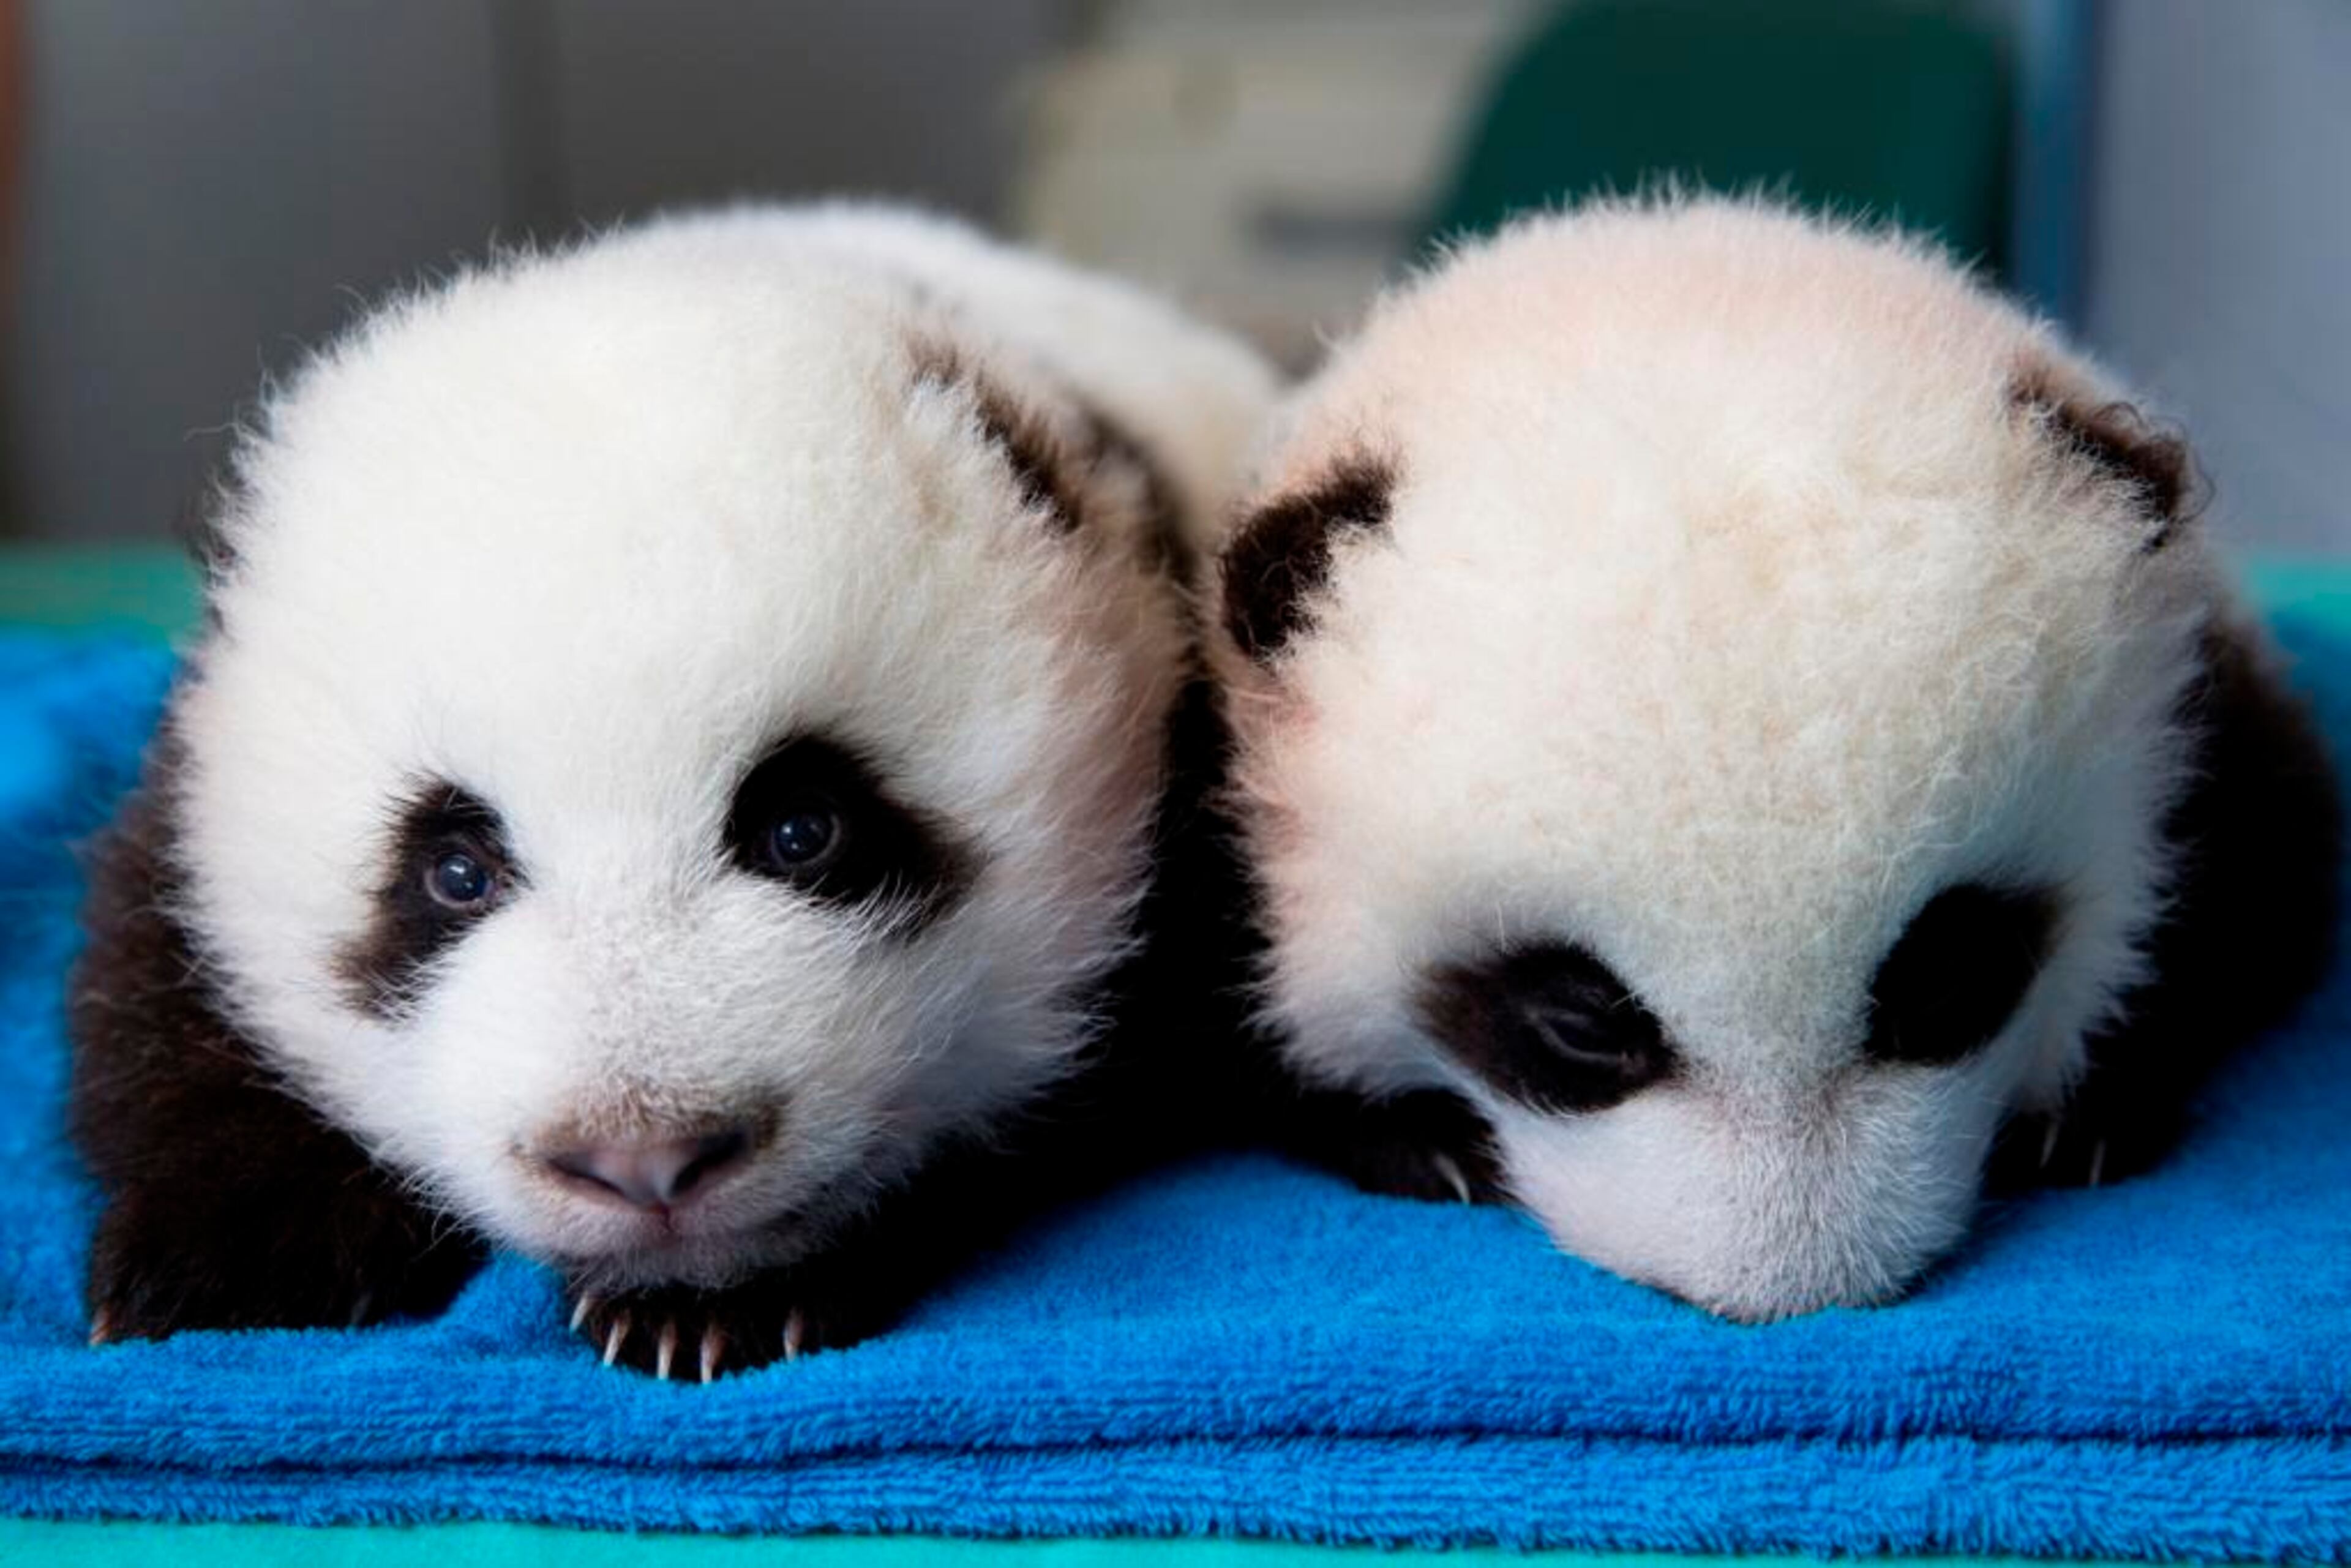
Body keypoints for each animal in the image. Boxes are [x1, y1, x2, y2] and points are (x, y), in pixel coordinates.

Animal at [69, 203, 1277, 1378]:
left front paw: (723, 1297)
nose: (644, 1160)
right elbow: (157, 974)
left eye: (804, 828)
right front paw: (226, 1258)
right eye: (454, 870)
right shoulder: (198, 769)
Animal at [1203, 197, 2340, 1323]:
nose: (1793, 1288)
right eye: (1579, 1018)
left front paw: (2091, 1115)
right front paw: (1420, 1142)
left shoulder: (2207, 715)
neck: (1713, 284)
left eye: (1945, 970)